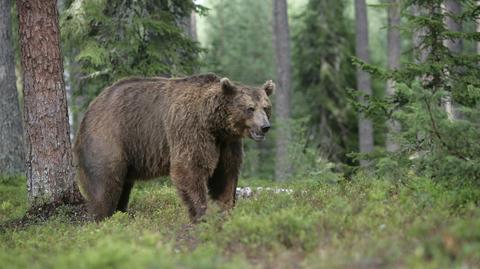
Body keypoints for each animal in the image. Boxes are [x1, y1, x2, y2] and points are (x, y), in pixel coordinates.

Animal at [71, 73, 274, 220]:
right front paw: (201, 213)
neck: (214, 124)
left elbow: (225, 173)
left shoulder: (226, 143)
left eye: (266, 107)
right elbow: (189, 168)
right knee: (105, 184)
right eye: (250, 108)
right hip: (108, 139)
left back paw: (121, 213)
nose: (265, 127)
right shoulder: (190, 128)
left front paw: (225, 208)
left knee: (123, 187)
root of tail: (91, 108)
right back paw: (103, 218)